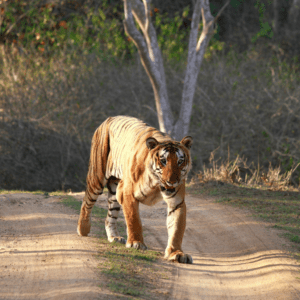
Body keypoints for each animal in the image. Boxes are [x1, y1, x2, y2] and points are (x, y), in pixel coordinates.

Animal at [77, 116, 193, 264]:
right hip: (97, 177)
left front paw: (176, 253)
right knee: (86, 201)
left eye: (180, 161)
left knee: (110, 216)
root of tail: (109, 118)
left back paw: (114, 237)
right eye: (163, 161)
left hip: (114, 190)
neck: (156, 183)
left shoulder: (177, 202)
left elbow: (177, 229)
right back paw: (83, 229)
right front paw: (136, 243)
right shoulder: (127, 192)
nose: (172, 182)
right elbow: (134, 219)